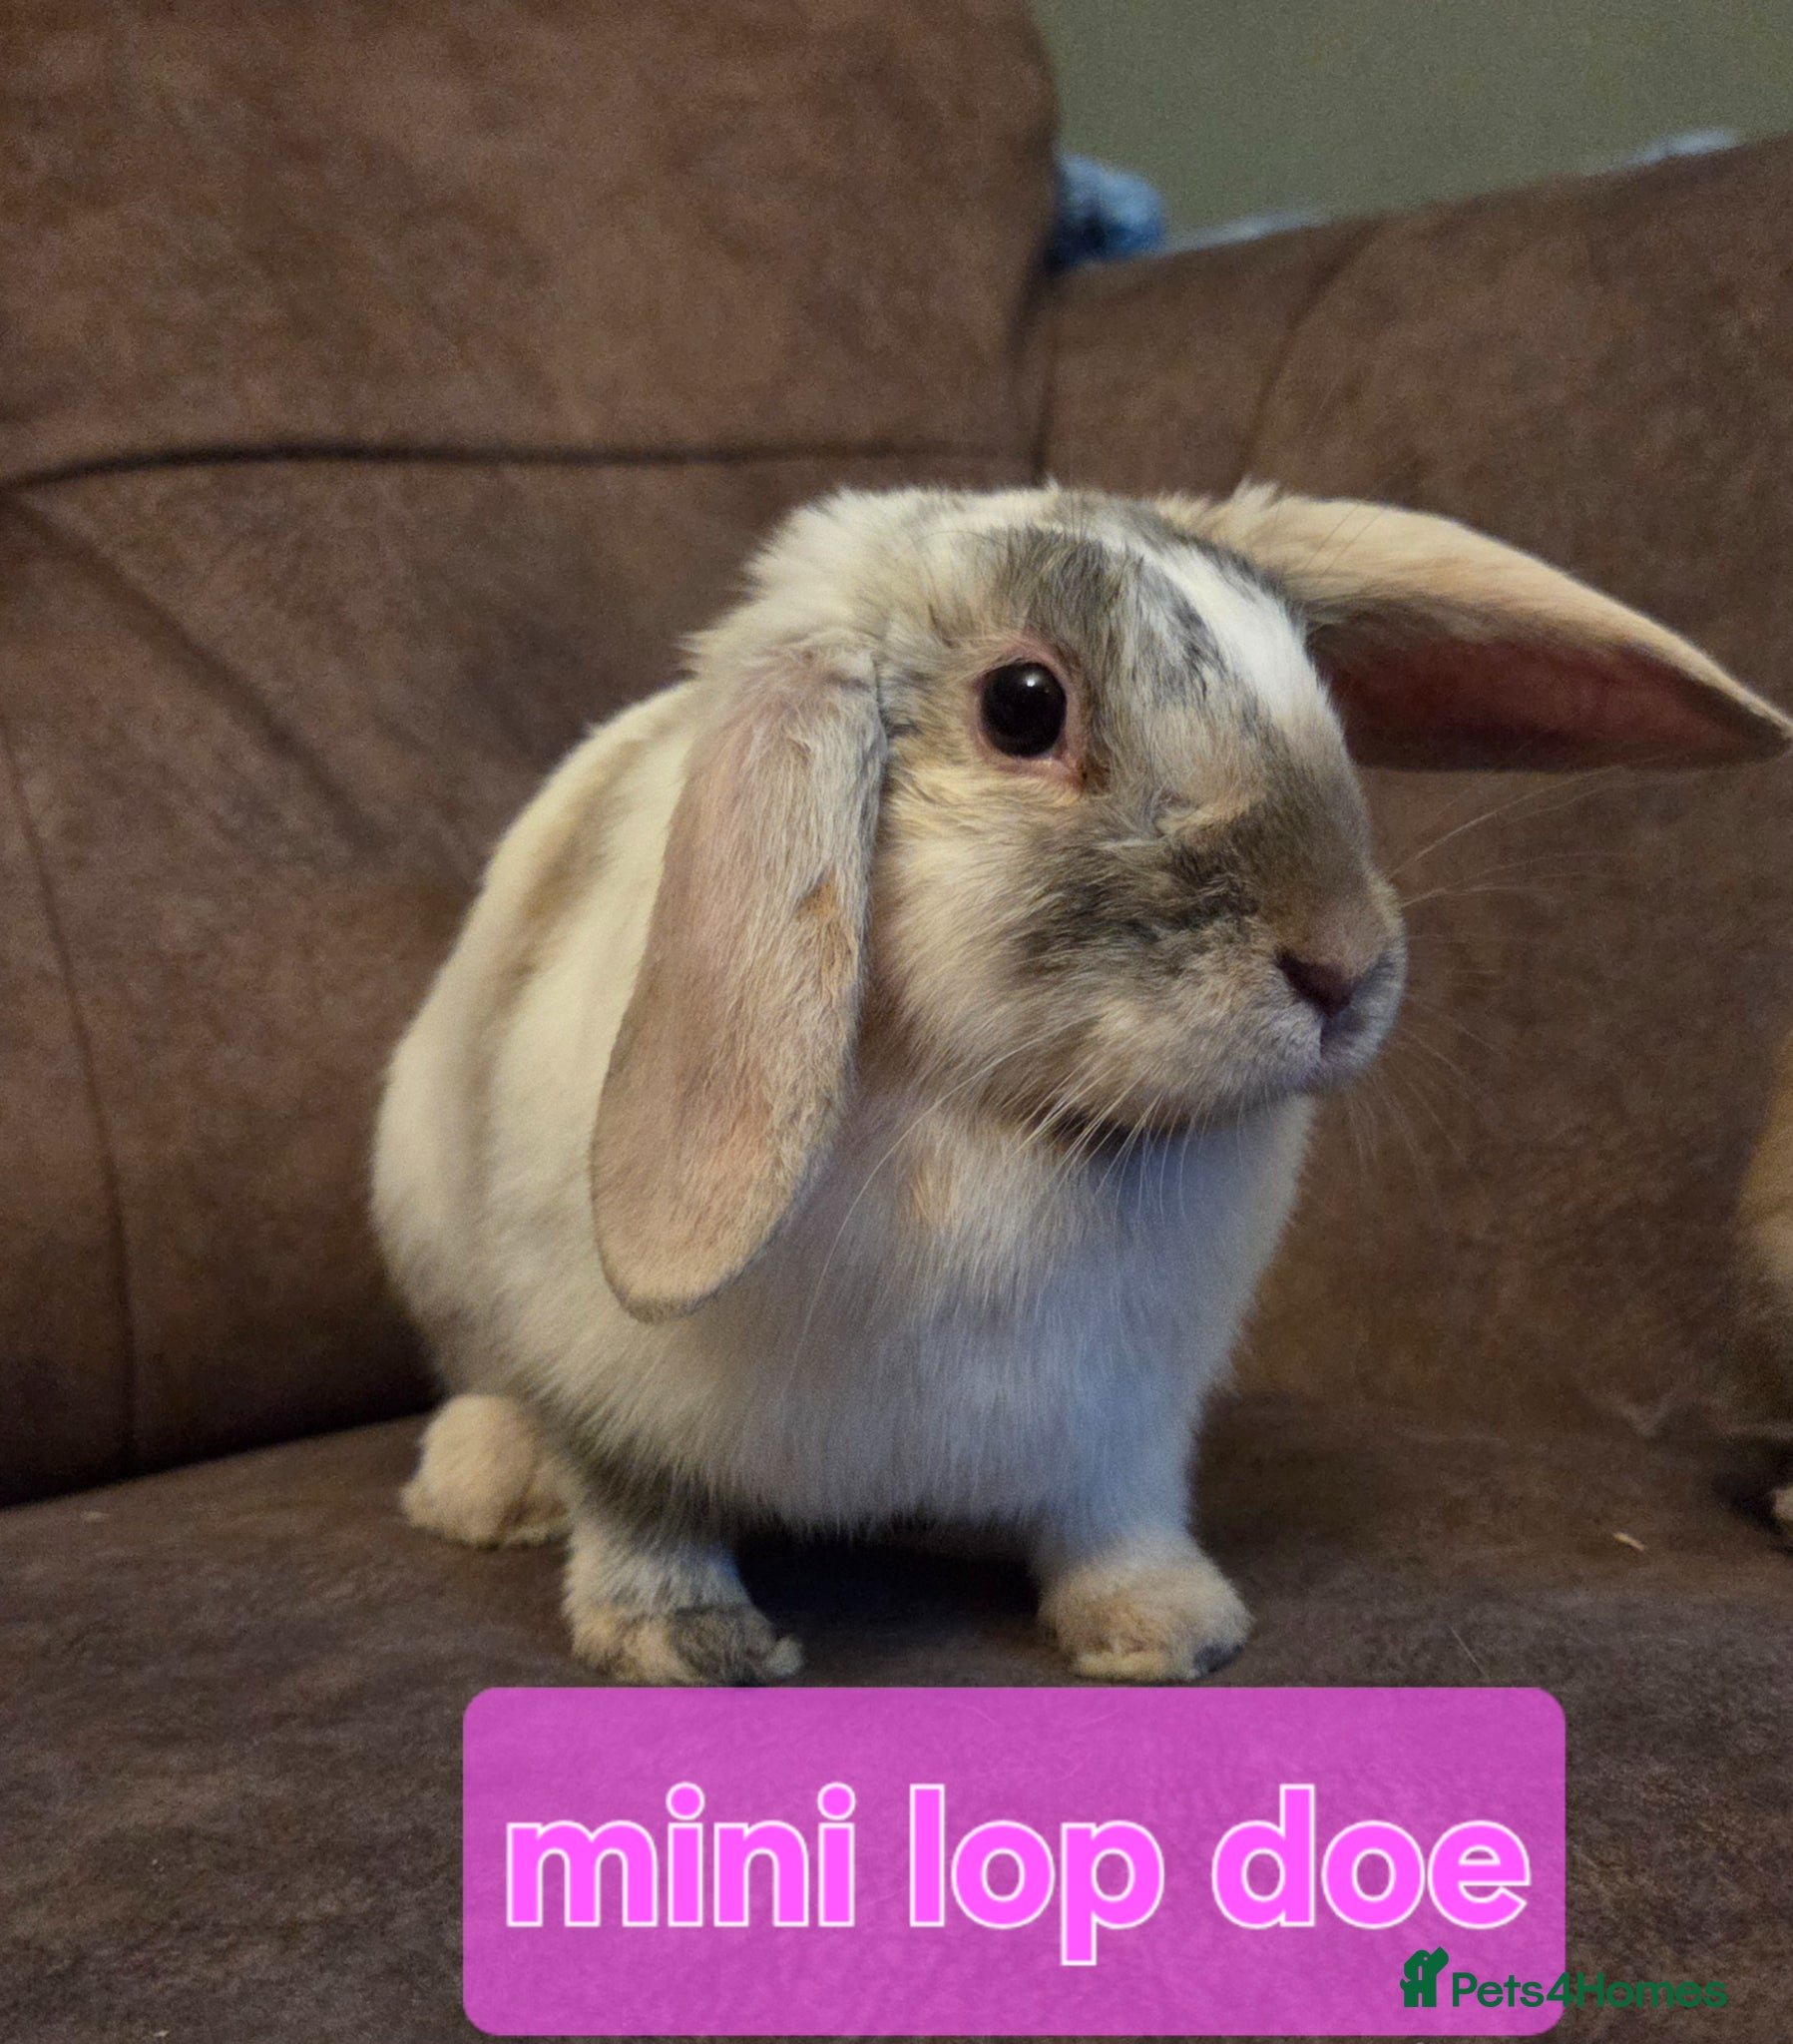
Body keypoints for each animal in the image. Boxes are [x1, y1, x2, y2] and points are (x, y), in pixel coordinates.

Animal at [374, 482, 1790, 1684]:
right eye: (1022, 705)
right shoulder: (609, 1390)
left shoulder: (1125, 1422)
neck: (1009, 1122)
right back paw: (486, 1488)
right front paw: (682, 1643)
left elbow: (1113, 1522)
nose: (1344, 963)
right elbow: (644, 1513)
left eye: (1315, 678)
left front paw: (1172, 1629)